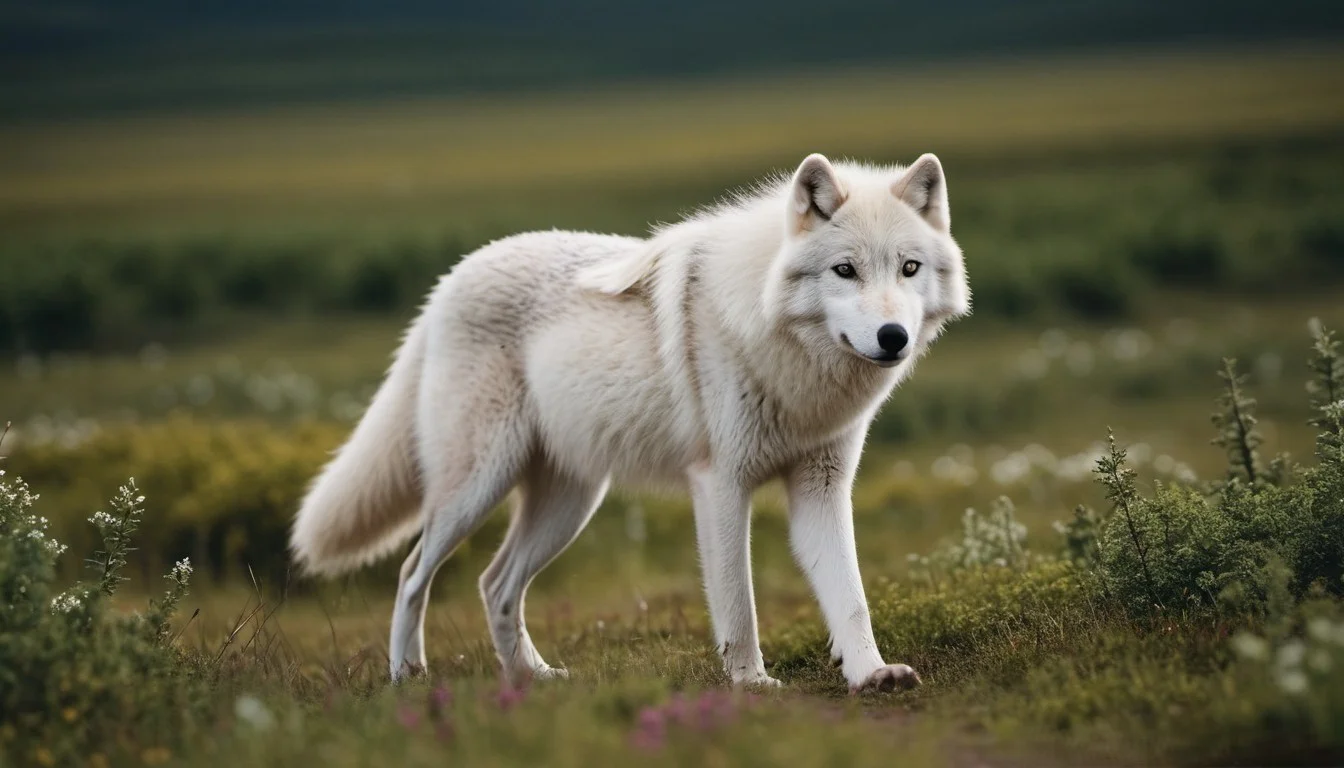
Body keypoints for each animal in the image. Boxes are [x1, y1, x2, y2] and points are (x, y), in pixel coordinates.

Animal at [290, 152, 971, 693]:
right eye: (845, 270)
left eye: (908, 268)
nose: (893, 336)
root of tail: (445, 284)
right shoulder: (721, 486)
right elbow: (739, 605)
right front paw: (752, 684)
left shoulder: (822, 489)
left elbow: (850, 599)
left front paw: (871, 674)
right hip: (476, 489)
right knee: (413, 574)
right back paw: (408, 676)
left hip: (570, 503)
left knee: (493, 583)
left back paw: (533, 678)